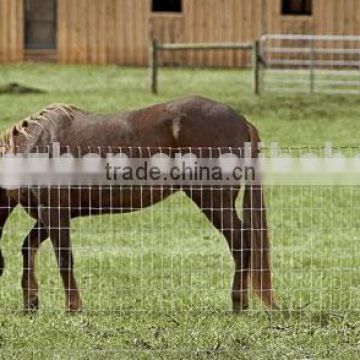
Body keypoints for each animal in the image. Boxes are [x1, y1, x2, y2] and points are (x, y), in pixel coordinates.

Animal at [0, 96, 276, 312]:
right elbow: (28, 247)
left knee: (240, 241)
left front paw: (73, 307)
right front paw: (31, 302)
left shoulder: (54, 211)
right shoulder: (50, 215)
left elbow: (64, 257)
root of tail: (240, 119)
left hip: (213, 200)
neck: (32, 146)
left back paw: (238, 302)